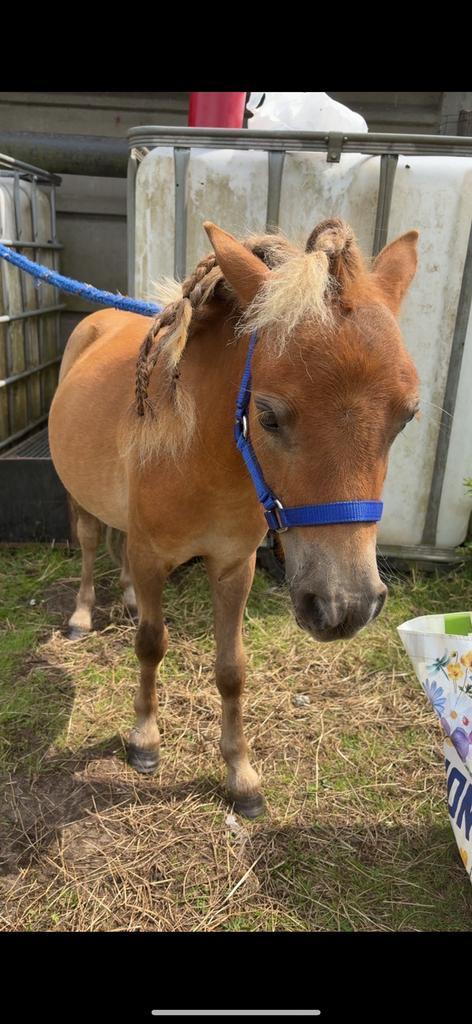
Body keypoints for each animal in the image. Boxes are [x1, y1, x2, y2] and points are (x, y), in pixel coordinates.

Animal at [48, 217, 419, 818]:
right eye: (266, 415)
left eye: (407, 416)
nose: (345, 606)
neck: (198, 456)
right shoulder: (153, 557)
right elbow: (151, 644)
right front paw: (144, 741)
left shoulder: (233, 565)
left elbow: (231, 669)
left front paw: (241, 777)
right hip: (81, 500)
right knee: (87, 546)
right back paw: (84, 615)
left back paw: (127, 599)